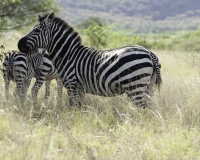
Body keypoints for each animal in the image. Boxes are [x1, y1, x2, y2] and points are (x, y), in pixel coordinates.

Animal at [17, 12, 162, 107]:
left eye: (36, 30)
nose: (19, 44)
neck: (68, 54)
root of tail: (150, 53)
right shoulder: (80, 89)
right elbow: (80, 108)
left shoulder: (72, 85)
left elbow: (73, 107)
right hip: (148, 87)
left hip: (135, 86)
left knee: (143, 109)